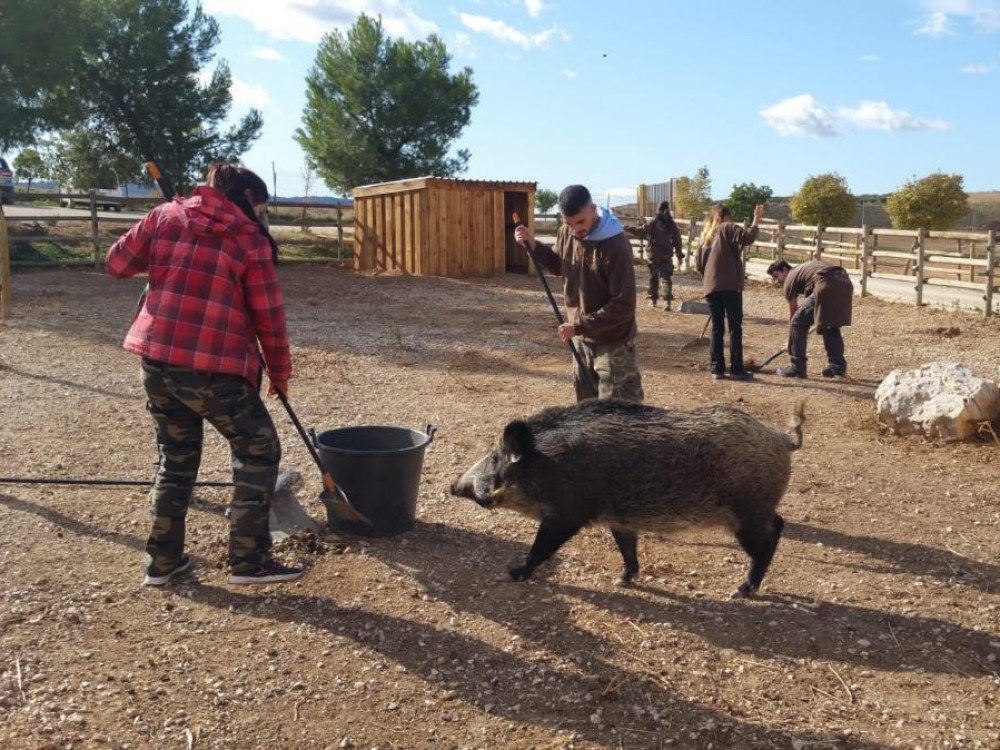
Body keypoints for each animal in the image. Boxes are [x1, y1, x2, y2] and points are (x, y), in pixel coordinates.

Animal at [450, 397, 805, 598]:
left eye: (496, 457)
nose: (454, 486)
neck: (548, 462)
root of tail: (782, 439)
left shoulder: (566, 514)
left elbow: (541, 548)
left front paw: (513, 573)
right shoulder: (619, 519)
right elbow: (627, 550)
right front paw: (622, 580)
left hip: (747, 513)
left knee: (771, 536)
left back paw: (741, 590)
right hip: (755, 510)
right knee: (779, 523)